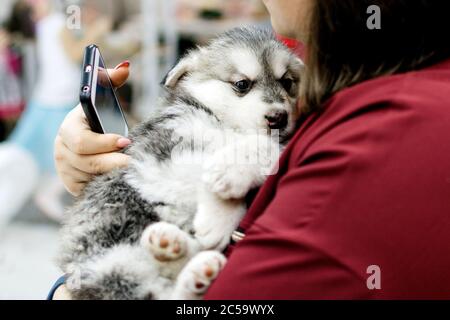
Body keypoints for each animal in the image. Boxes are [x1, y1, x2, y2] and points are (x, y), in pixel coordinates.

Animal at [57, 27, 302, 300]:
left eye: (287, 82)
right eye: (242, 84)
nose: (279, 118)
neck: (227, 126)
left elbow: (267, 147)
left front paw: (230, 179)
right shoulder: (161, 153)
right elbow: (205, 168)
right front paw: (220, 212)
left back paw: (187, 260)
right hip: (110, 252)